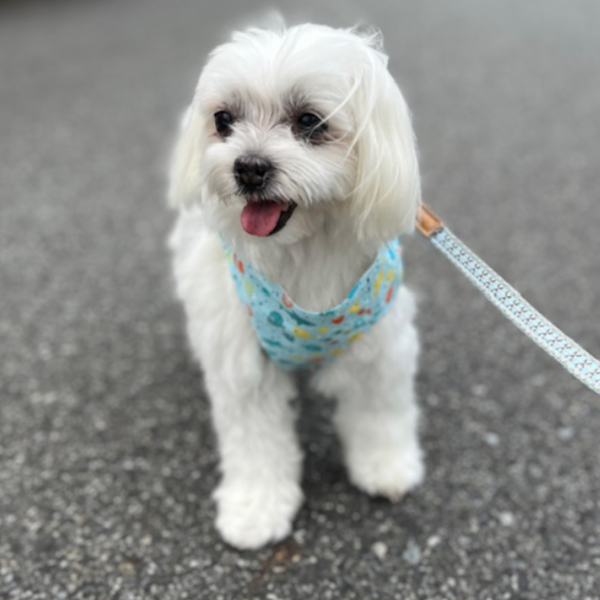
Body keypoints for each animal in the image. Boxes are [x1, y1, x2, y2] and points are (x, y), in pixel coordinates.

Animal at [166, 22, 424, 548]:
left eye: (309, 121)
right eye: (223, 119)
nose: (248, 167)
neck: (304, 251)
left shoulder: (380, 348)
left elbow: (381, 412)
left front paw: (386, 467)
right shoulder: (242, 364)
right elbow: (255, 442)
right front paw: (256, 510)